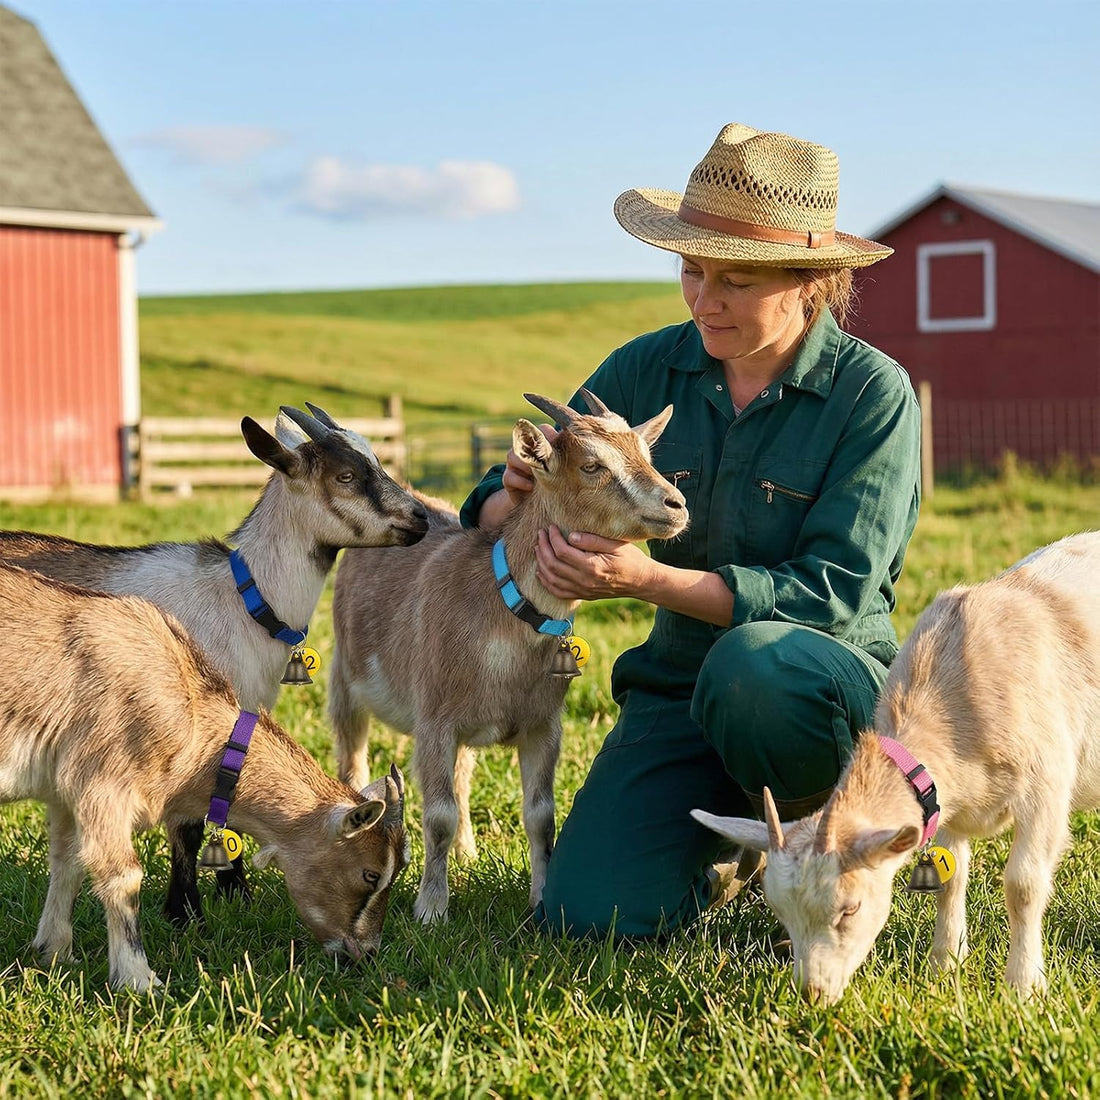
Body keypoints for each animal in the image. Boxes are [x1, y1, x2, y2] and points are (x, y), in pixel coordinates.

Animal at [0, 402, 428, 923]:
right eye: (345, 475)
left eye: (377, 460)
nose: (421, 518)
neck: (242, 597)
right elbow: (188, 823)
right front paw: (186, 912)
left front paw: (236, 894)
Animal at [0, 561, 409, 991]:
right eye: (370, 874)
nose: (366, 953)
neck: (190, 709)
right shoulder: (103, 784)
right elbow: (124, 877)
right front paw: (139, 980)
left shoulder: (64, 794)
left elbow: (68, 864)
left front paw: (54, 953)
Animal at [330, 390, 688, 922]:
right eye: (591, 465)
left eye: (646, 455)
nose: (676, 504)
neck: (502, 610)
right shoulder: (435, 721)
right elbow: (437, 815)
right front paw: (431, 910)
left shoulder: (543, 725)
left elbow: (541, 816)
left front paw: (539, 900)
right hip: (345, 679)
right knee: (352, 759)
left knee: (461, 778)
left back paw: (467, 853)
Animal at [693, 531, 1100, 1003]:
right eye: (781, 913)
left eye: (850, 908)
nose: (812, 994)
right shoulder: (947, 802)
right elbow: (951, 878)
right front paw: (945, 965)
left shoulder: (1045, 788)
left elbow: (1023, 885)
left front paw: (1023, 988)